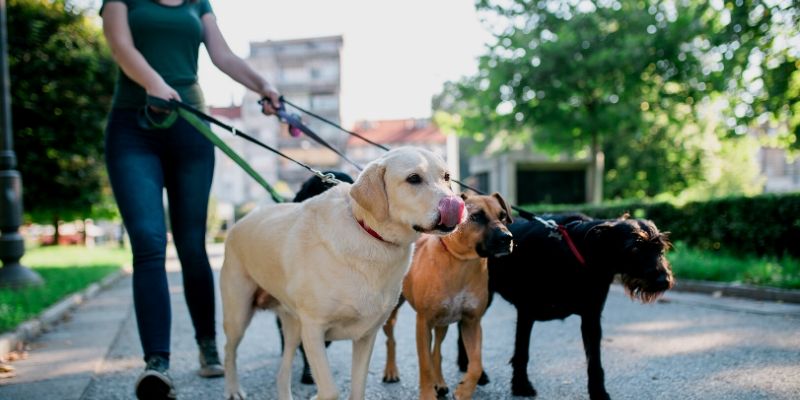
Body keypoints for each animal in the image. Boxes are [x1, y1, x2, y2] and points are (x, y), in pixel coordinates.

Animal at [382, 192, 512, 398]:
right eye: (476, 216)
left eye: (503, 216)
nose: (507, 238)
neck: (461, 262)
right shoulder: (423, 322)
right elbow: (424, 364)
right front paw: (427, 395)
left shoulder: (472, 322)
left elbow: (476, 364)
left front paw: (464, 391)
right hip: (392, 315)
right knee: (391, 340)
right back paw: (391, 371)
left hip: (442, 322)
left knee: (437, 351)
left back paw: (440, 382)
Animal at [456, 211, 676, 398]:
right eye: (635, 248)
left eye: (660, 248)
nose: (664, 281)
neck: (579, 253)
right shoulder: (526, 313)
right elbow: (522, 353)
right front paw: (521, 386)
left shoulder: (591, 318)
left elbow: (595, 362)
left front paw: (599, 393)